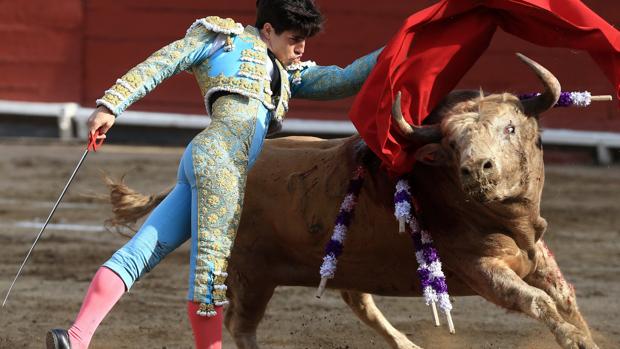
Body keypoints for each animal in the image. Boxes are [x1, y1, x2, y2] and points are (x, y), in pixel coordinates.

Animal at [109, 52, 600, 348]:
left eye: (510, 128)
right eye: (452, 144)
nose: (476, 169)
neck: (507, 221)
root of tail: (185, 182)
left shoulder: (536, 255)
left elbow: (565, 298)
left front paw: (587, 338)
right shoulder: (479, 270)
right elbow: (539, 302)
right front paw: (573, 340)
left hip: (339, 263)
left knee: (356, 301)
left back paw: (407, 345)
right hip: (249, 275)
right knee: (238, 325)